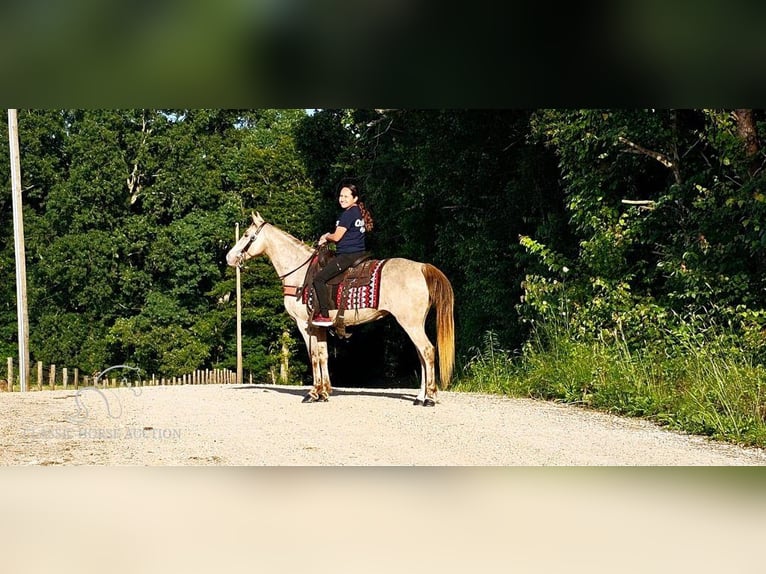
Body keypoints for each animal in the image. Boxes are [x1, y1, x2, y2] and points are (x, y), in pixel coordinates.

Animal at [224, 214, 456, 408]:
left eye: (246, 235)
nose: (229, 257)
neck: (300, 273)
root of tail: (422, 267)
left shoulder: (305, 324)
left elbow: (313, 356)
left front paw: (313, 393)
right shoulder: (319, 326)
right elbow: (323, 355)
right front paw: (324, 392)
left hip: (410, 323)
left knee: (427, 351)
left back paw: (430, 398)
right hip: (414, 323)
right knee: (422, 355)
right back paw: (419, 396)